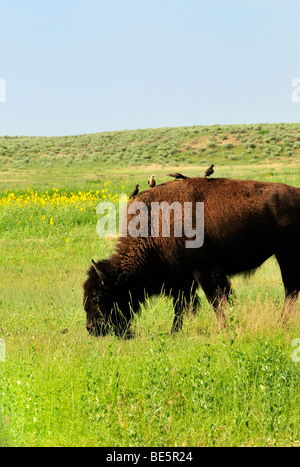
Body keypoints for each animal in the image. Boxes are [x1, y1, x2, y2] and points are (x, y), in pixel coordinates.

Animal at [82, 176, 300, 336]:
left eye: (98, 297)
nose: (92, 329)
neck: (153, 226)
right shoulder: (182, 278)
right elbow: (182, 306)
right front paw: (174, 332)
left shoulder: (203, 271)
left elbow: (215, 300)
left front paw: (222, 329)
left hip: (286, 255)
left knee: (290, 290)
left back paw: (281, 323)